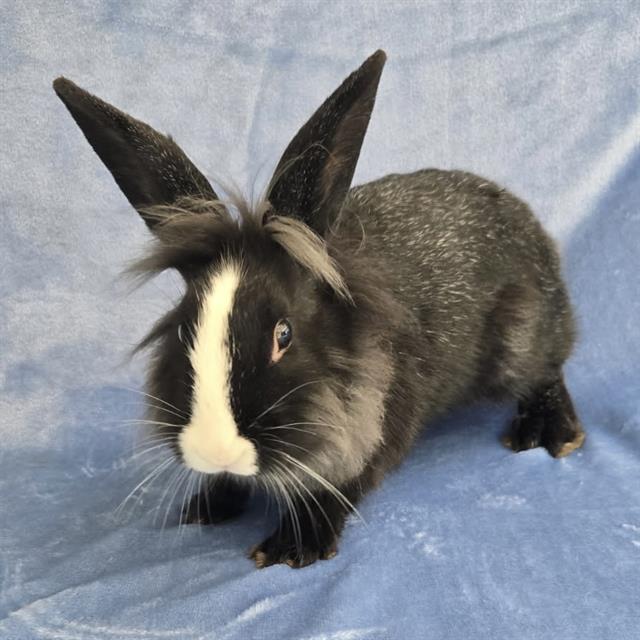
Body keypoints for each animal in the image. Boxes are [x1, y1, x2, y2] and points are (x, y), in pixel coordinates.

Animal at [53, 49, 584, 569]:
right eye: (184, 328)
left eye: (284, 334)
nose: (216, 449)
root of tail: (524, 218)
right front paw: (204, 507)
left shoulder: (371, 429)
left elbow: (338, 488)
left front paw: (292, 549)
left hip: (522, 340)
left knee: (547, 371)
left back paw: (548, 433)